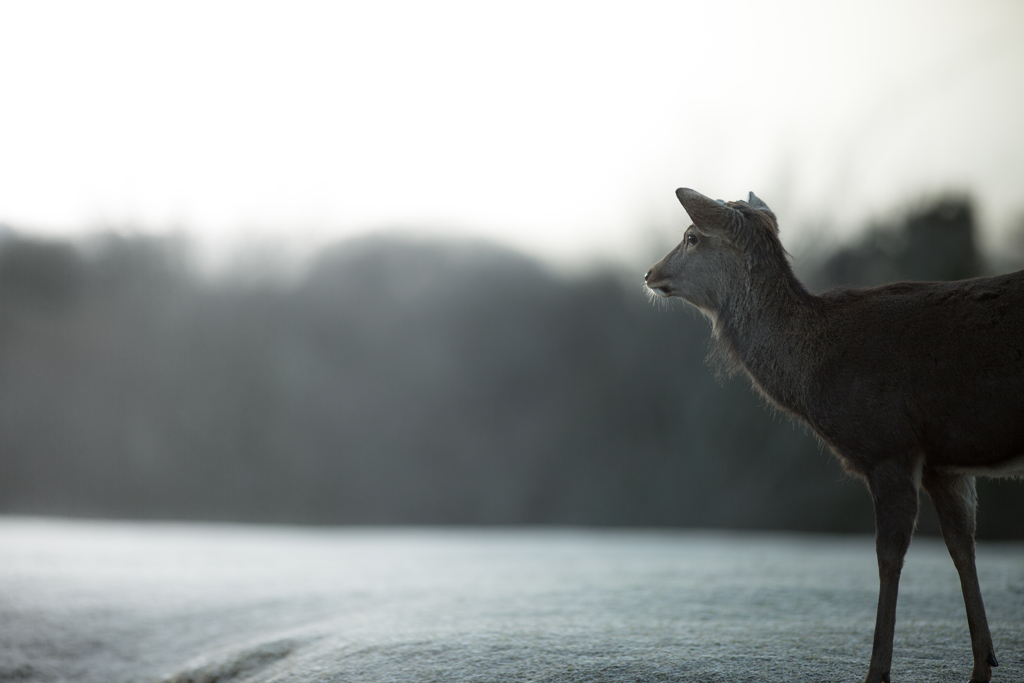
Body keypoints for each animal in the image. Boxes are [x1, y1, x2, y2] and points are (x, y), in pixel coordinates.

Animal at [643, 188, 1019, 683]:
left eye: (690, 236)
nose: (649, 272)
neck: (819, 373)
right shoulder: (943, 461)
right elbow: (962, 547)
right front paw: (983, 663)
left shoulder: (889, 445)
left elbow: (888, 556)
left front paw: (876, 670)